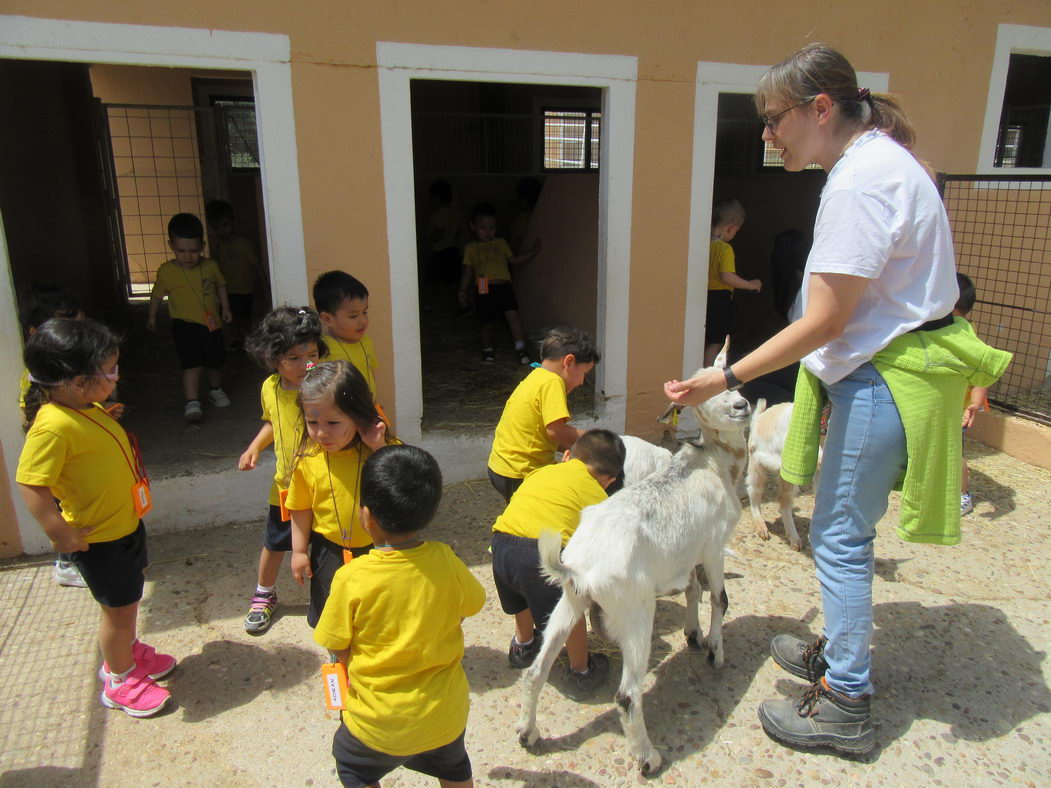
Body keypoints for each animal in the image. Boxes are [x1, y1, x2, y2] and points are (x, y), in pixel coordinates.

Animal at [514, 367, 748, 773]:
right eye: (704, 393)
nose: (742, 405)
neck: (712, 465)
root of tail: (581, 569)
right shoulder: (713, 547)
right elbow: (720, 598)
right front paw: (715, 652)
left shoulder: (686, 553)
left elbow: (694, 590)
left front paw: (693, 634)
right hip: (637, 611)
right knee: (626, 694)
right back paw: (648, 758)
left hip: (569, 602)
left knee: (535, 671)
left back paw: (529, 734)